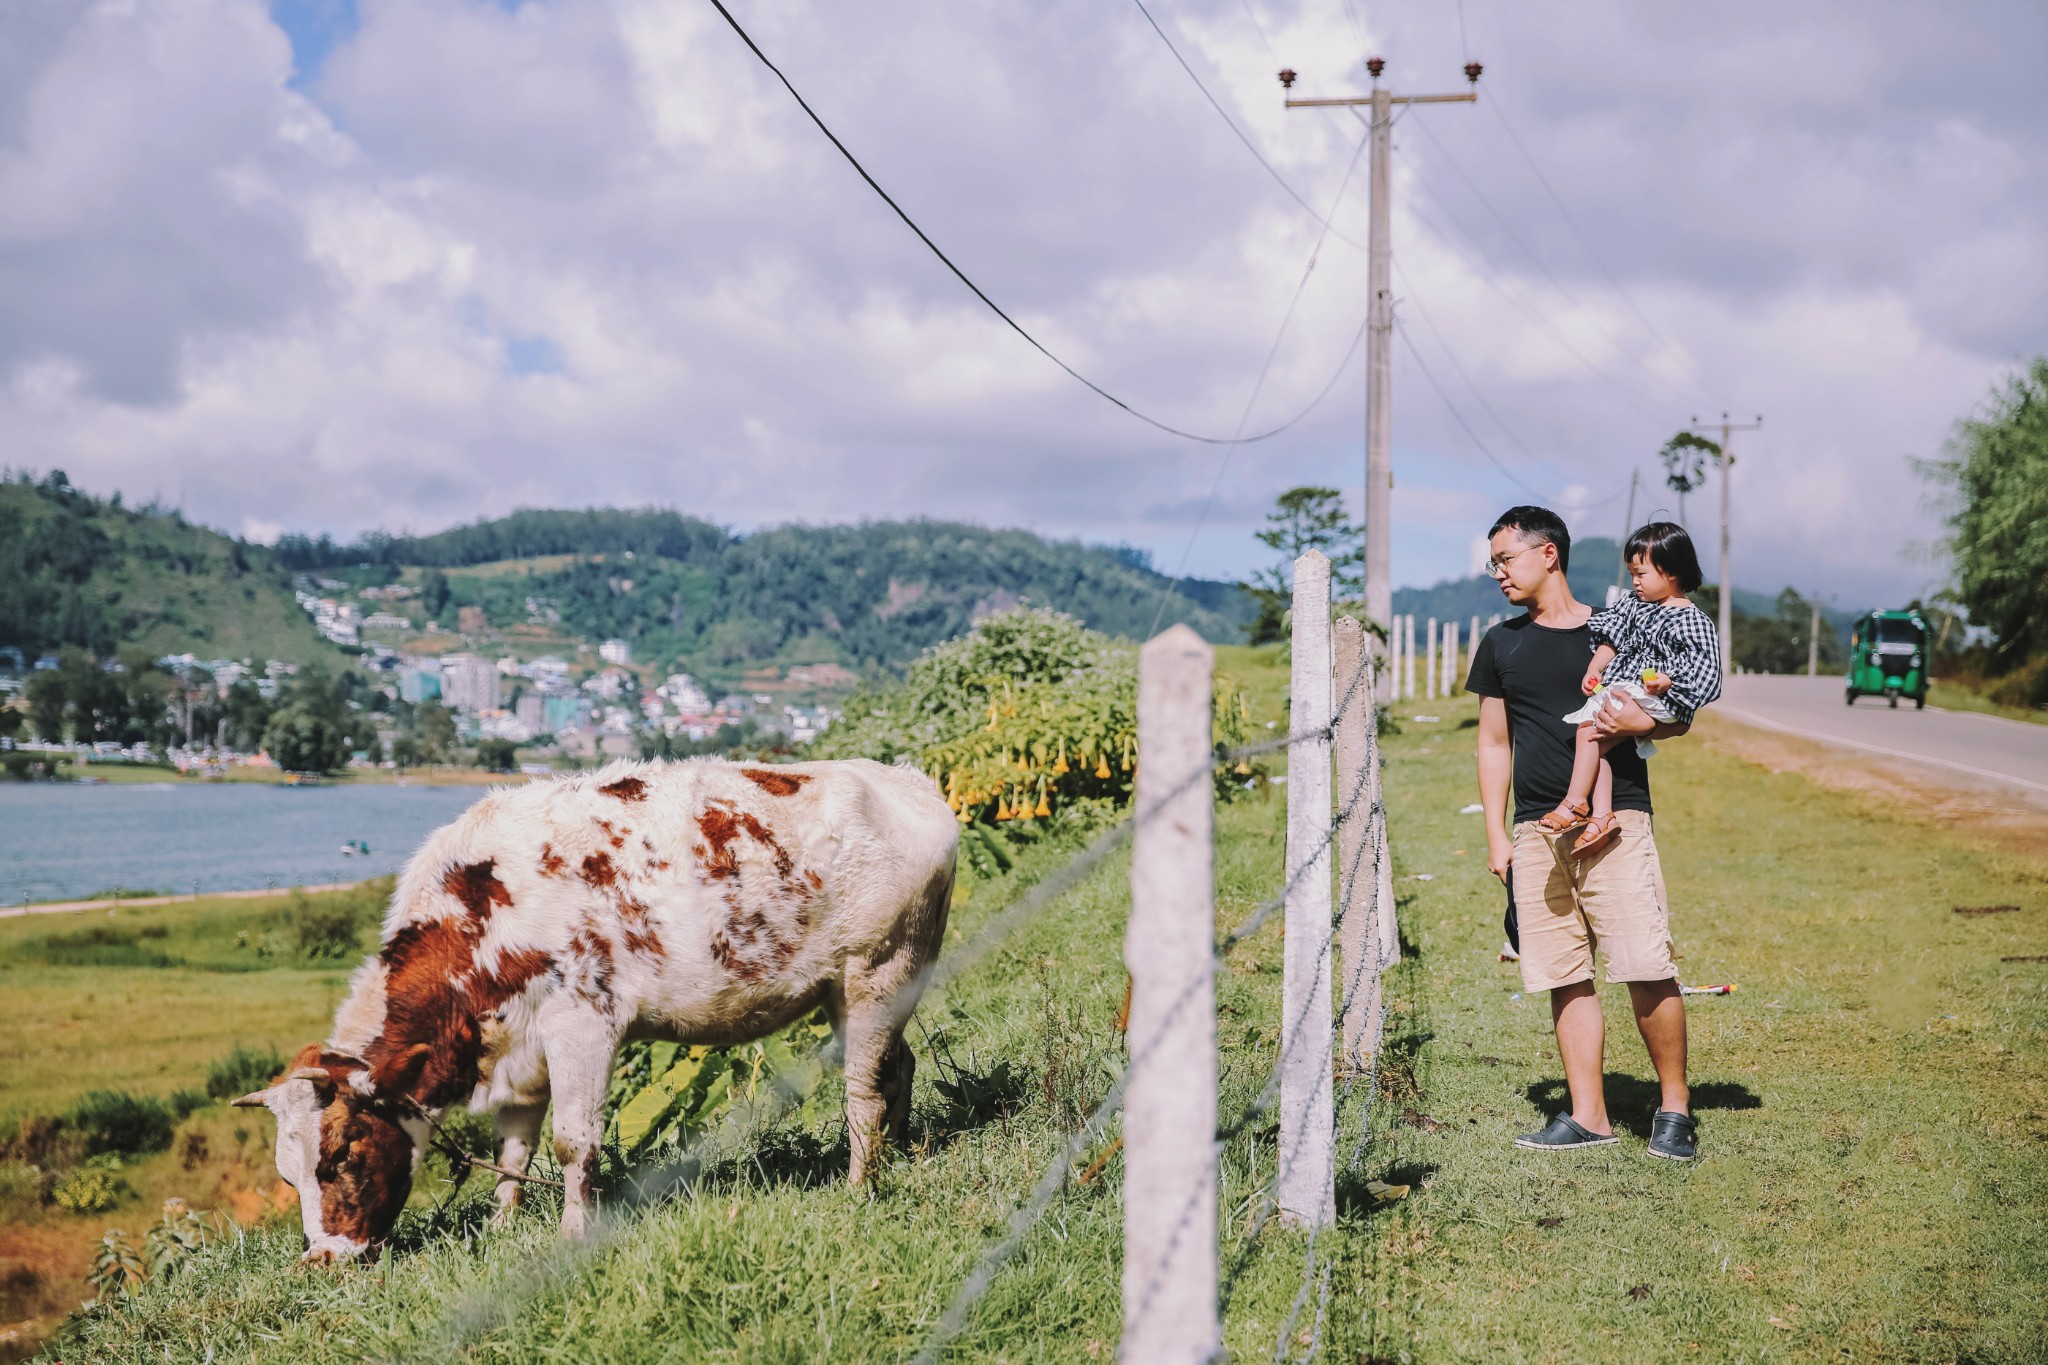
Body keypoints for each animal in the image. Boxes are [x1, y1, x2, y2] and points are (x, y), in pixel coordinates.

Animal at [234, 757, 958, 1260]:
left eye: (343, 1156)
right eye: (288, 1176)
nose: (324, 1260)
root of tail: (905, 779)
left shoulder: (581, 1023)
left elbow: (571, 1141)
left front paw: (573, 1233)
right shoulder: (519, 1048)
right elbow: (515, 1148)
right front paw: (502, 1224)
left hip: (876, 971)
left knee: (862, 1088)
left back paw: (861, 1184)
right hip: (866, 986)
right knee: (898, 1064)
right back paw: (901, 1152)